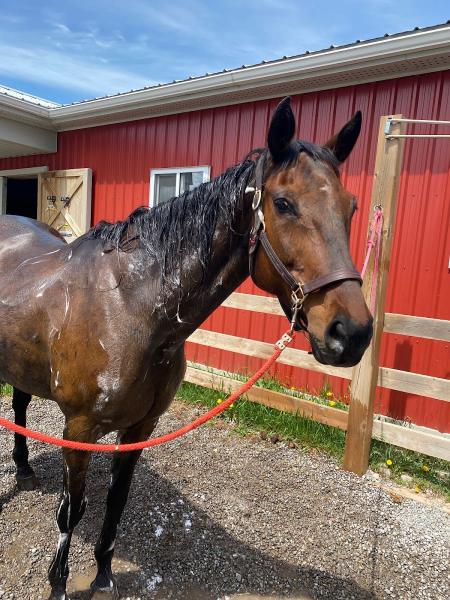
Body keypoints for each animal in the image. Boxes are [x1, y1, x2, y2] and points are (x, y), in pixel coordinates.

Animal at [0, 96, 372, 596]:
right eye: (284, 203)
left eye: (351, 207)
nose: (351, 333)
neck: (131, 306)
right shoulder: (79, 430)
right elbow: (71, 512)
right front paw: (59, 583)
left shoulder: (140, 429)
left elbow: (116, 503)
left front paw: (103, 574)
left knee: (20, 405)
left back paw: (23, 467)